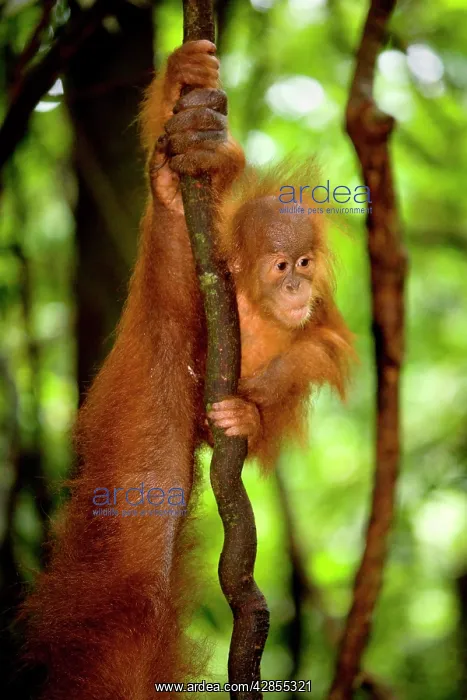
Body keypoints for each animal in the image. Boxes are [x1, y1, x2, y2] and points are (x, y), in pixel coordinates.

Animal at [22, 39, 353, 699]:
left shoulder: (316, 319)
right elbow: (178, 288)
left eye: (305, 261)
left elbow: (315, 352)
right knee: (132, 571)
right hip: (141, 393)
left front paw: (250, 411)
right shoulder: (208, 289)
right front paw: (186, 90)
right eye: (281, 265)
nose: (297, 284)